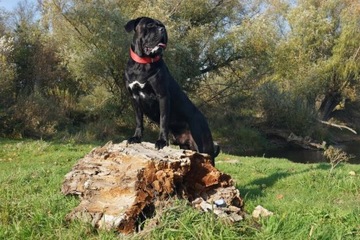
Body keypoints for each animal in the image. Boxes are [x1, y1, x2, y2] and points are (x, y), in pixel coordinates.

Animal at [124, 15, 219, 164]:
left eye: (162, 25)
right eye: (150, 25)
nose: (162, 29)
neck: (142, 64)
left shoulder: (162, 96)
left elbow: (163, 120)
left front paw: (162, 141)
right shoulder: (134, 98)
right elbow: (139, 120)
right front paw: (136, 137)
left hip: (204, 147)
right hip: (188, 146)